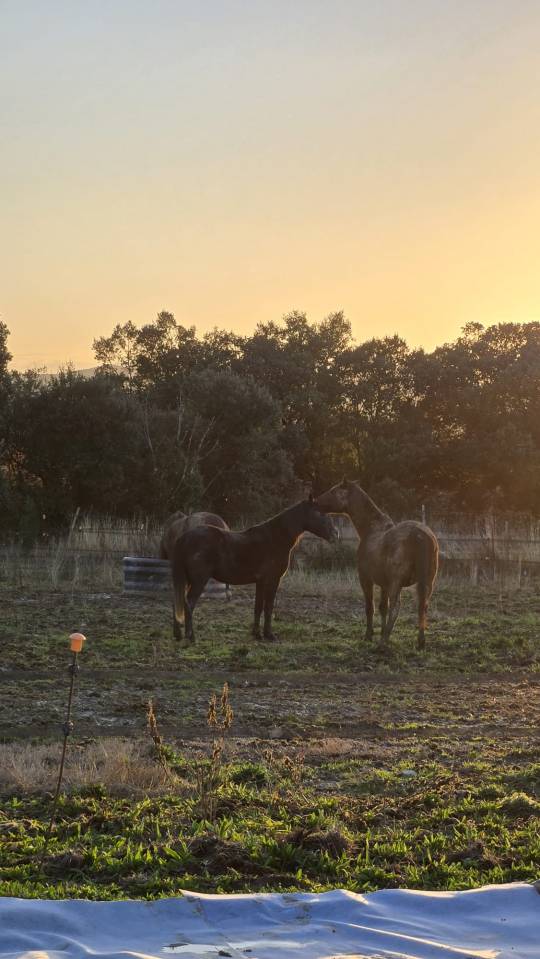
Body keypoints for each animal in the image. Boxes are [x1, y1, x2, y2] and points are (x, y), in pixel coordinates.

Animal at [171, 495, 336, 646]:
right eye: (320, 513)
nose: (335, 534)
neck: (275, 539)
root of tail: (184, 538)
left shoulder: (260, 582)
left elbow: (258, 607)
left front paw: (257, 634)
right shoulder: (272, 580)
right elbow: (268, 607)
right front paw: (269, 635)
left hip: (186, 580)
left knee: (177, 602)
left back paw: (178, 635)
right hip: (199, 581)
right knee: (189, 604)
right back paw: (191, 637)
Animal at [316, 479, 438, 649]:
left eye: (333, 491)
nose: (315, 502)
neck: (371, 529)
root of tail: (420, 534)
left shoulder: (366, 579)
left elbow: (370, 607)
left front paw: (369, 635)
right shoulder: (384, 584)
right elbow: (383, 608)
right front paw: (379, 632)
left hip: (397, 583)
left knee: (396, 607)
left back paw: (383, 643)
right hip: (427, 582)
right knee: (422, 606)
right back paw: (420, 642)